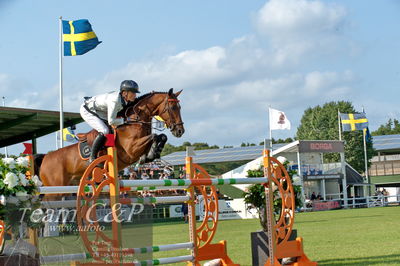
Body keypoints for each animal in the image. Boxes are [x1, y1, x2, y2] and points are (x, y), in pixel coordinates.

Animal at [36, 88, 184, 186]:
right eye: (172, 107)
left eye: (180, 107)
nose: (180, 131)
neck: (134, 121)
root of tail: (45, 158)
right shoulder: (130, 150)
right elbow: (154, 136)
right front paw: (150, 154)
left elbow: (162, 136)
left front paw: (151, 154)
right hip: (55, 186)